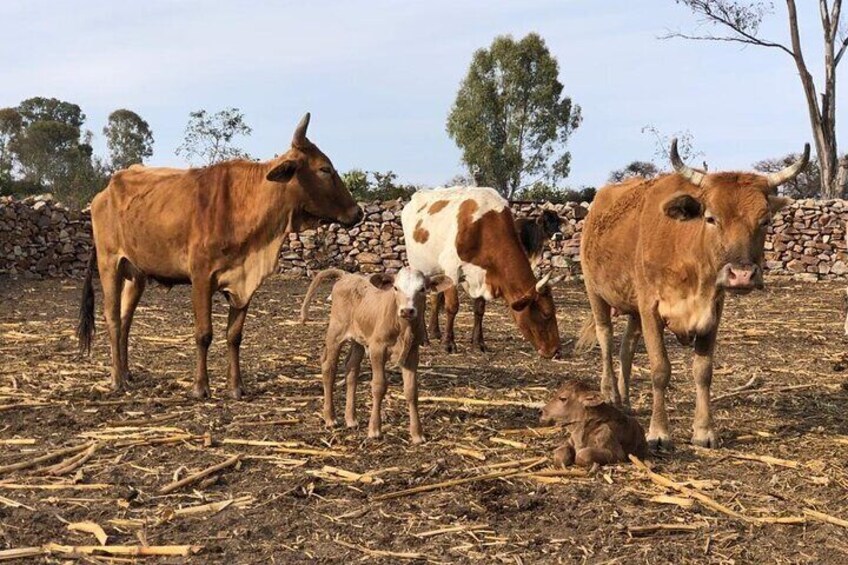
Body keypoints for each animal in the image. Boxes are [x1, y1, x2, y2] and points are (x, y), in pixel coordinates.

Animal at [75, 112, 362, 398]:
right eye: (324, 169)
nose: (357, 212)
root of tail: (104, 192)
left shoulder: (243, 282)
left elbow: (234, 336)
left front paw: (236, 387)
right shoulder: (201, 277)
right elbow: (204, 334)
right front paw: (200, 387)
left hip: (136, 274)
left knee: (126, 320)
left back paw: (126, 373)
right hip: (109, 264)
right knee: (113, 318)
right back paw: (116, 380)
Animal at [302, 266, 454, 442]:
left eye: (422, 289)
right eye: (396, 288)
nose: (407, 310)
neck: (403, 329)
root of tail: (346, 275)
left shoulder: (412, 353)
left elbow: (411, 391)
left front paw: (417, 434)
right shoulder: (377, 349)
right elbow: (379, 386)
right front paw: (375, 429)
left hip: (358, 339)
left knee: (351, 369)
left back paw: (351, 419)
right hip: (336, 332)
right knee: (329, 367)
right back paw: (330, 418)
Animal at [400, 188, 560, 356]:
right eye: (546, 314)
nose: (556, 350)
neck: (483, 229)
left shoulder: (483, 276)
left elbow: (479, 309)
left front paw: (478, 343)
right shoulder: (451, 270)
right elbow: (452, 307)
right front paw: (448, 343)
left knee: (435, 298)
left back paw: (435, 332)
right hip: (419, 266)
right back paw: (424, 339)